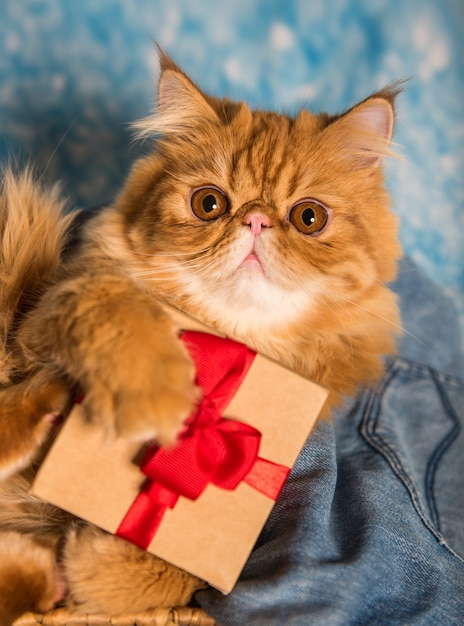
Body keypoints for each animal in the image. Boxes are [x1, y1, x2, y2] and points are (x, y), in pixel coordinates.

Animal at [0, 48, 400, 620]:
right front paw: (162, 397)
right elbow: (112, 308)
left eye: (309, 217)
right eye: (209, 204)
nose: (256, 221)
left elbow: (187, 574)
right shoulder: (48, 312)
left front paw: (101, 567)